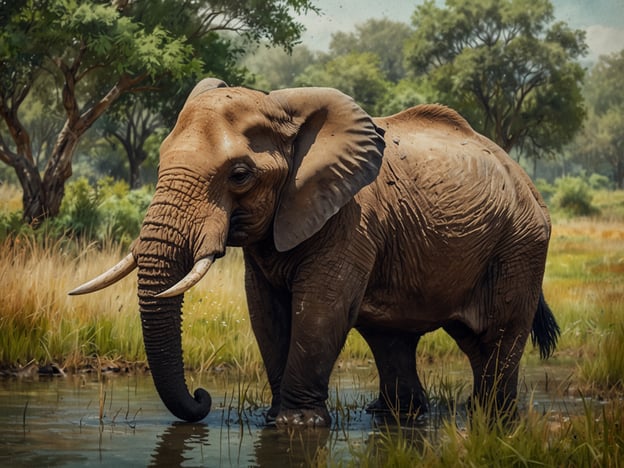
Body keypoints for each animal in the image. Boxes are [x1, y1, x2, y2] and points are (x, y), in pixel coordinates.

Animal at [69, 77, 560, 428]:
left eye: (240, 175)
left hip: (521, 244)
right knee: (401, 338)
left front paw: (296, 425)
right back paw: (399, 416)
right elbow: (265, 310)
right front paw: (273, 419)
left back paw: (492, 419)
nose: (202, 397)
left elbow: (322, 307)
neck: (284, 109)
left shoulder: (352, 217)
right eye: (159, 162)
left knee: (498, 333)